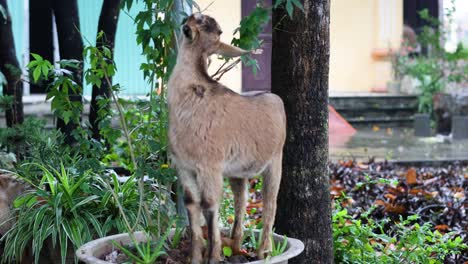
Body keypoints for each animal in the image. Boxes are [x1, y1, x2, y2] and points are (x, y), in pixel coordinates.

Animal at [166, 14, 288, 264]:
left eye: (204, 24)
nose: (186, 22)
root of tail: (276, 100)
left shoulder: (210, 166)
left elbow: (210, 205)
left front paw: (213, 256)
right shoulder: (184, 167)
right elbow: (191, 203)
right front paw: (195, 257)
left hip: (275, 159)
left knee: (270, 201)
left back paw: (264, 252)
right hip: (237, 172)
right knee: (242, 200)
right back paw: (237, 246)